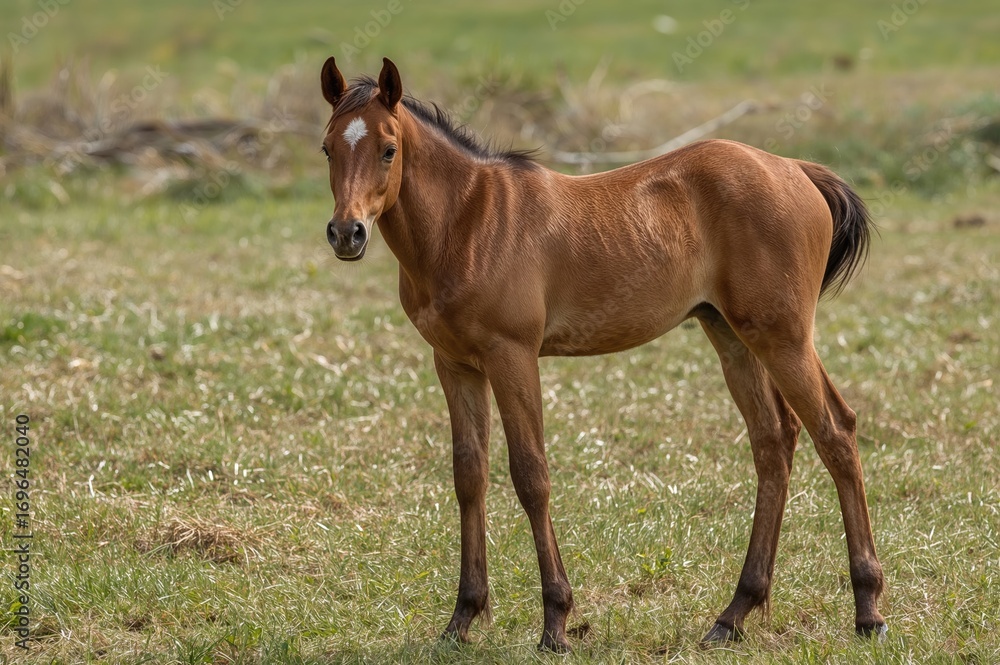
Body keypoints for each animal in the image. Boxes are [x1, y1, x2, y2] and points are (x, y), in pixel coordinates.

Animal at [319, 56, 886, 651]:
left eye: (388, 148)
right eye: (327, 148)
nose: (346, 233)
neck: (467, 220)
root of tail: (794, 169)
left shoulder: (511, 356)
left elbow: (531, 475)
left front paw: (555, 622)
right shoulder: (454, 365)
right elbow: (469, 476)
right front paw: (462, 619)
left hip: (784, 337)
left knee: (835, 432)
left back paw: (868, 610)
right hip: (733, 336)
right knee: (773, 442)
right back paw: (734, 614)